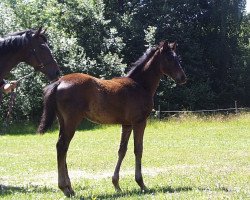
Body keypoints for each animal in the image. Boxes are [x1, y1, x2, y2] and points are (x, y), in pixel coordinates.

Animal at [37, 40, 186, 197]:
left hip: (63, 122)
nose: (183, 77)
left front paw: (116, 184)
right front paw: (141, 184)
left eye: (177, 58)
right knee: (62, 146)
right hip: (72, 121)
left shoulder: (127, 124)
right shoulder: (139, 122)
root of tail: (58, 82)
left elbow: (122, 150)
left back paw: (70, 188)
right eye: (169, 59)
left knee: (62, 147)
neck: (140, 85)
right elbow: (138, 149)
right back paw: (65, 188)